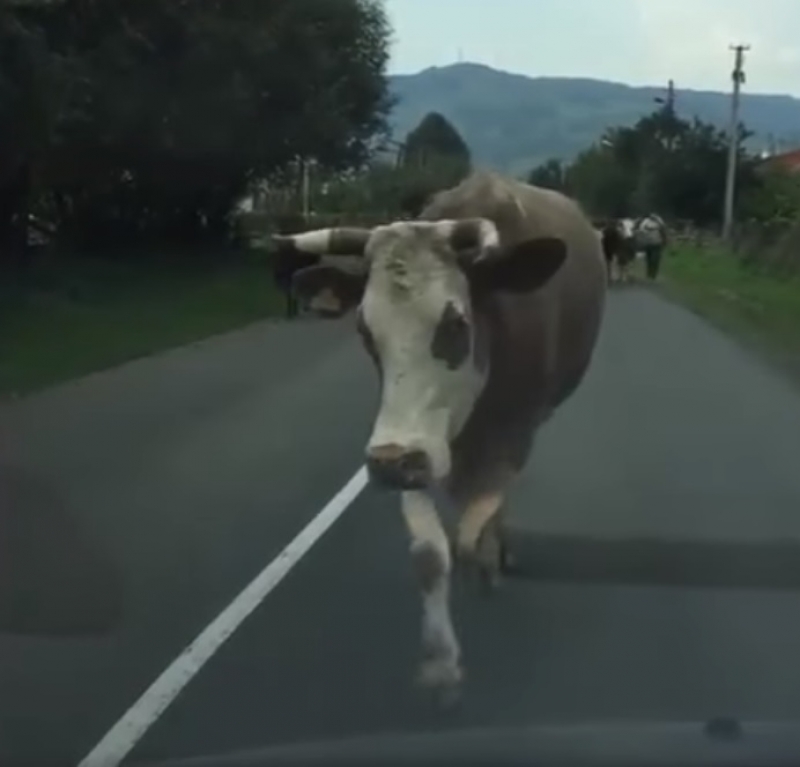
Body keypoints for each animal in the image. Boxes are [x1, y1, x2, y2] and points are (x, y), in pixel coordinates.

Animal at [274, 172, 608, 704]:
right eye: (365, 330)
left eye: (456, 323)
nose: (389, 464)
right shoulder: (414, 449)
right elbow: (430, 555)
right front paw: (440, 663)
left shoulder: (513, 435)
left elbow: (474, 531)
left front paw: (487, 564)